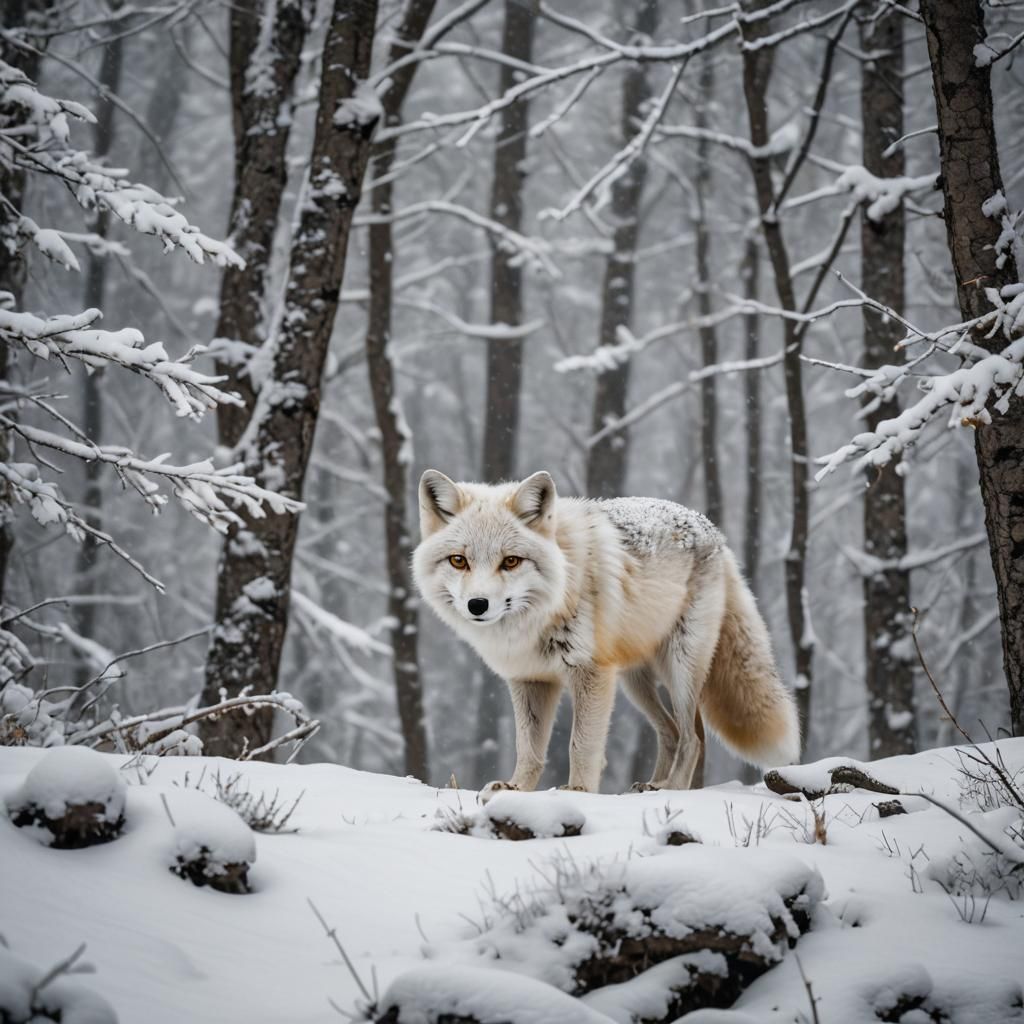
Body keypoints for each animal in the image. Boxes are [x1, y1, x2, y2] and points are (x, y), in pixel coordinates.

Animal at [412, 469, 800, 796]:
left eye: (510, 561)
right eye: (459, 560)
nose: (477, 604)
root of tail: (714, 532)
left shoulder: (591, 674)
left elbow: (580, 745)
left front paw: (578, 793)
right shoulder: (529, 679)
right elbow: (529, 749)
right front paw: (516, 789)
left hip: (679, 669)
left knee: (692, 739)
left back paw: (670, 789)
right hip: (634, 681)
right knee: (675, 732)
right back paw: (652, 786)